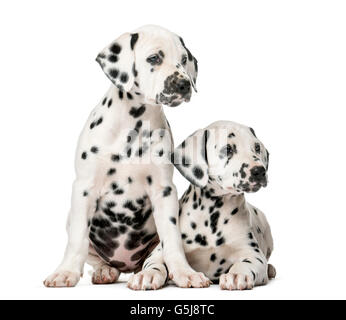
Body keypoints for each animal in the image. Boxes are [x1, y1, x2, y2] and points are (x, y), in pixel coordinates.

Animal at [44, 25, 209, 288]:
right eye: (154, 58)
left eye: (184, 60)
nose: (183, 84)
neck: (133, 125)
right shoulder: (84, 188)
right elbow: (77, 239)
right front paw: (66, 271)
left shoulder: (164, 191)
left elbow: (172, 239)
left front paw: (184, 272)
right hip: (72, 220)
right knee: (94, 255)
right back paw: (104, 271)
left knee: (155, 258)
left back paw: (150, 274)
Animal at [128, 120, 278, 290]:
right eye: (228, 149)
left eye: (257, 147)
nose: (259, 171)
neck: (212, 215)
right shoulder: (159, 252)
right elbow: (155, 263)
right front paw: (147, 275)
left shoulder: (253, 253)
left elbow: (246, 263)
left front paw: (236, 274)